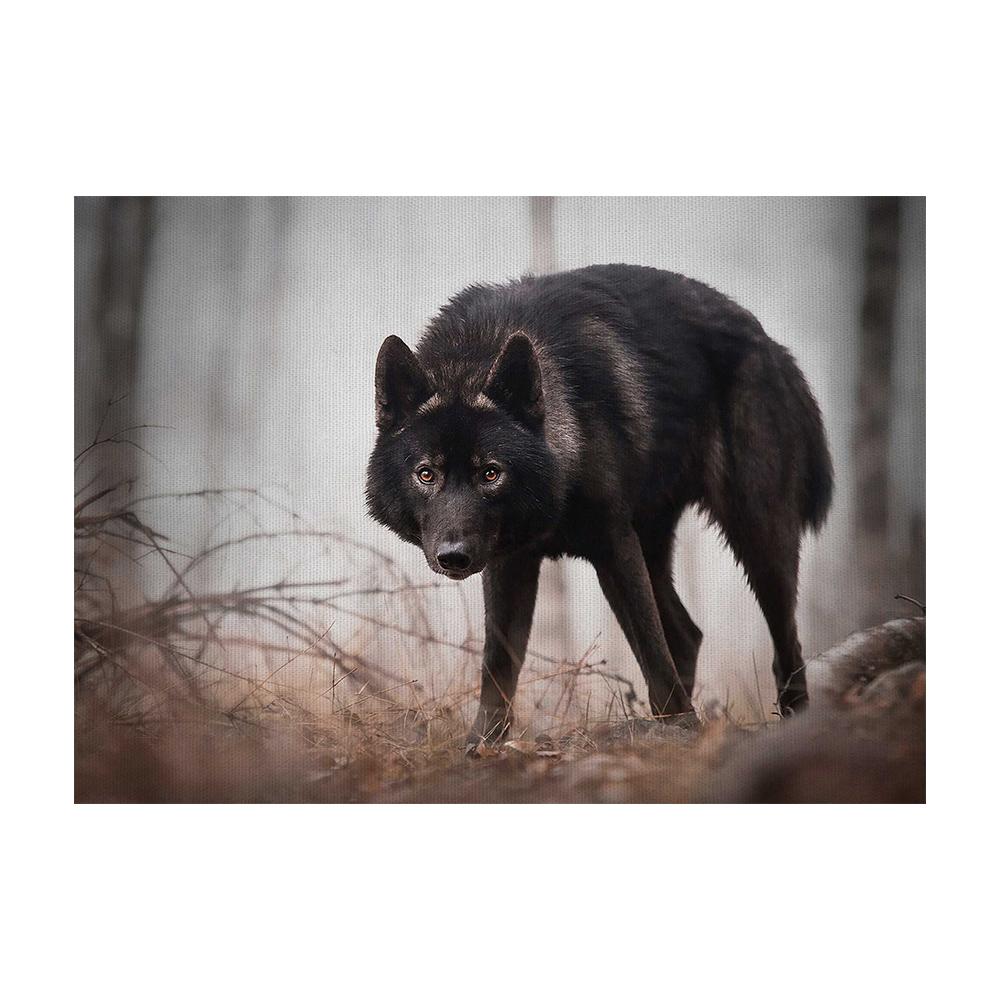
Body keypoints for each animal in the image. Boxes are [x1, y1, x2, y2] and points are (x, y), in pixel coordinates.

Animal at [365, 264, 833, 745]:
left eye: (491, 474)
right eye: (427, 474)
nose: (453, 557)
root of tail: (771, 344)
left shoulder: (613, 545)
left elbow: (652, 652)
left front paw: (683, 729)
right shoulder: (510, 562)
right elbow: (498, 664)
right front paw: (483, 744)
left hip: (757, 536)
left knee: (784, 642)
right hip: (654, 548)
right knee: (687, 635)